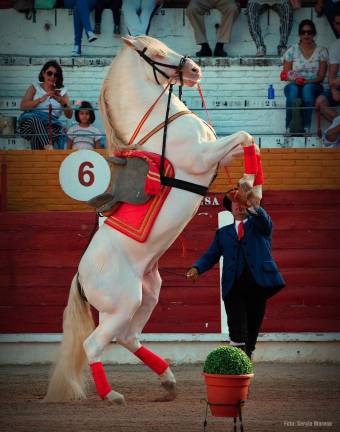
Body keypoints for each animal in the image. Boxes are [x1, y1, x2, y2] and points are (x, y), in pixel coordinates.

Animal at [44, 36, 260, 404]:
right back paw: (112, 395)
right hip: (123, 303)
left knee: (128, 337)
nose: (195, 70)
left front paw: (250, 188)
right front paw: (249, 185)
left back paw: (168, 382)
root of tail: (81, 278)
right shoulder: (203, 156)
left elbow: (249, 142)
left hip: (148, 294)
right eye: (158, 53)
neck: (161, 123)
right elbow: (245, 136)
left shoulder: (215, 154)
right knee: (95, 344)